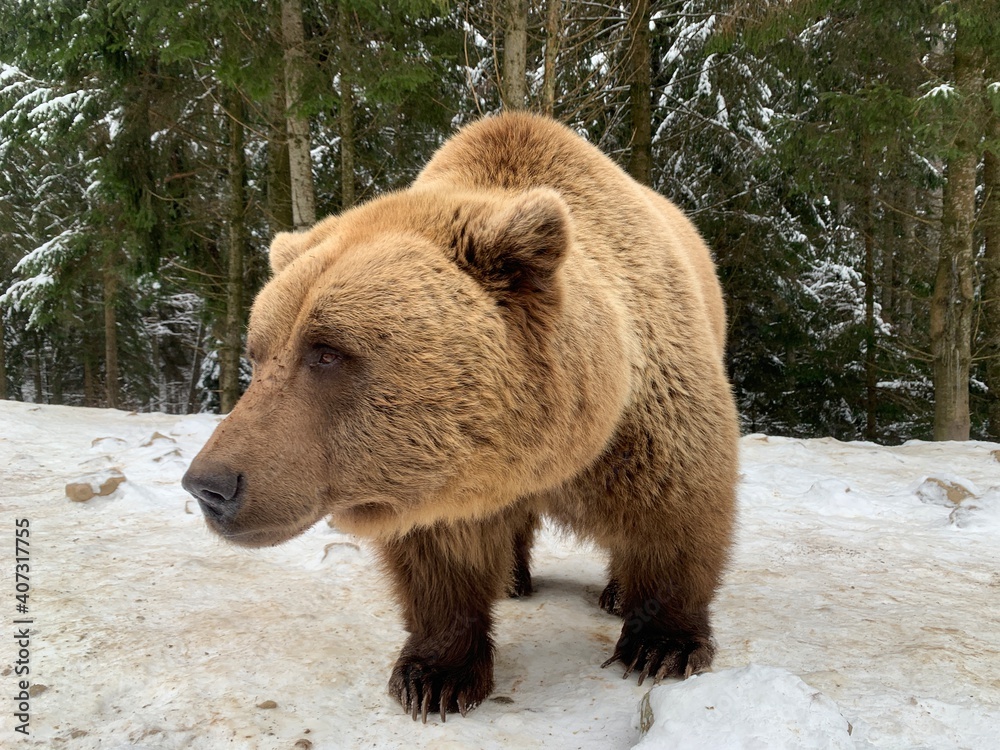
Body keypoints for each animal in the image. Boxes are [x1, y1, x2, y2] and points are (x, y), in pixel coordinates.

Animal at [182, 112, 739, 723]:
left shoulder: (644, 423)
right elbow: (441, 564)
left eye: (326, 351)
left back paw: (614, 592)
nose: (210, 484)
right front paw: (435, 677)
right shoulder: (437, 485)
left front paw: (662, 646)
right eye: (258, 352)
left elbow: (676, 511)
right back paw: (513, 580)